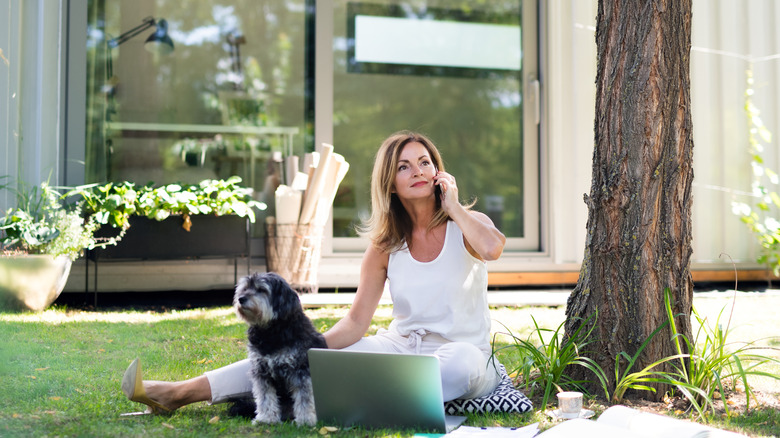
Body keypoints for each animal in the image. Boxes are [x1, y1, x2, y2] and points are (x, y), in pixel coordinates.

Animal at [233, 272, 328, 426]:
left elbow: (304, 398)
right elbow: (265, 398)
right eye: (245, 288)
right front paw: (266, 418)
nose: (240, 299)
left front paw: (305, 420)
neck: (271, 332)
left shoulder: (301, 370)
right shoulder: (261, 370)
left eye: (262, 290)